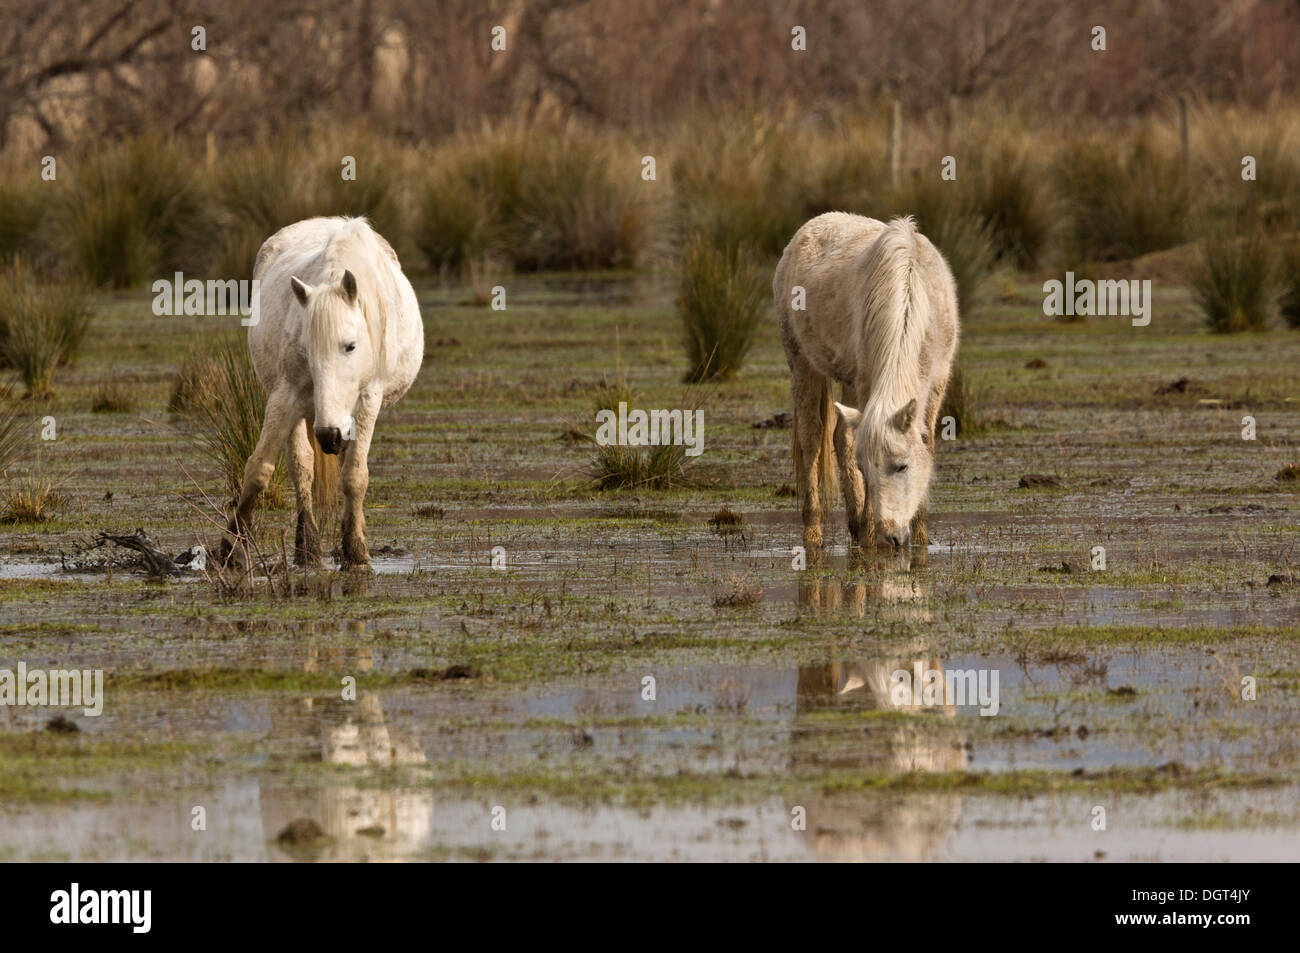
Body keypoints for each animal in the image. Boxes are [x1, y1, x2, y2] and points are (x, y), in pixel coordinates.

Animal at [216, 216, 424, 570]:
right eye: (308, 351)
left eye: (350, 346)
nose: (329, 434)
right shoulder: (285, 397)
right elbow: (259, 468)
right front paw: (231, 546)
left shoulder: (367, 403)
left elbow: (354, 477)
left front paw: (356, 551)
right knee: (302, 466)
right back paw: (308, 546)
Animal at [773, 213, 959, 552]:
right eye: (865, 468)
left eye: (902, 466)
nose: (892, 536)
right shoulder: (867, 382)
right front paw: (870, 527)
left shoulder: (937, 383)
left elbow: (927, 444)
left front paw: (920, 534)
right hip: (802, 365)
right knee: (812, 438)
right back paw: (818, 532)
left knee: (840, 436)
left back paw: (856, 524)